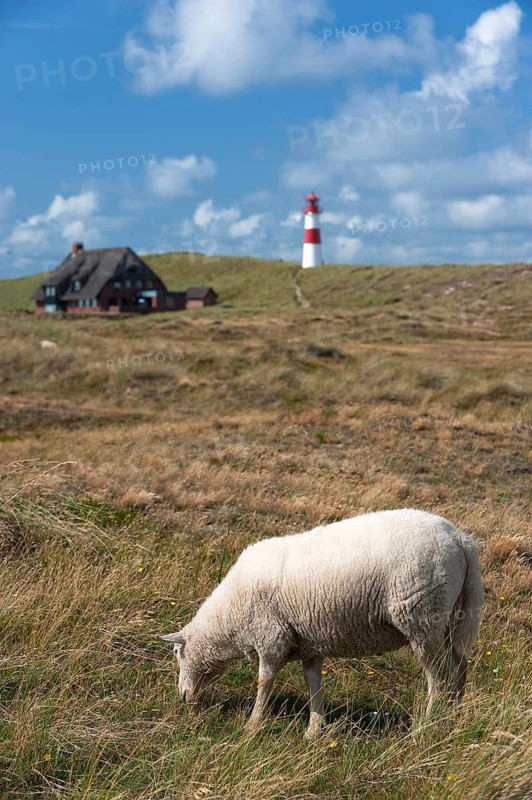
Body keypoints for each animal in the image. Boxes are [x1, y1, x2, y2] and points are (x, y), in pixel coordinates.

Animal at [161, 509, 483, 739]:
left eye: (178, 655)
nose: (183, 697)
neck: (229, 619)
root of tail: (461, 540)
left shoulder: (271, 638)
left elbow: (264, 681)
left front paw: (253, 724)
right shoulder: (308, 643)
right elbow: (313, 682)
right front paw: (315, 730)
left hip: (421, 617)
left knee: (437, 676)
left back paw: (427, 725)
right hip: (451, 618)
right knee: (460, 667)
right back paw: (454, 719)